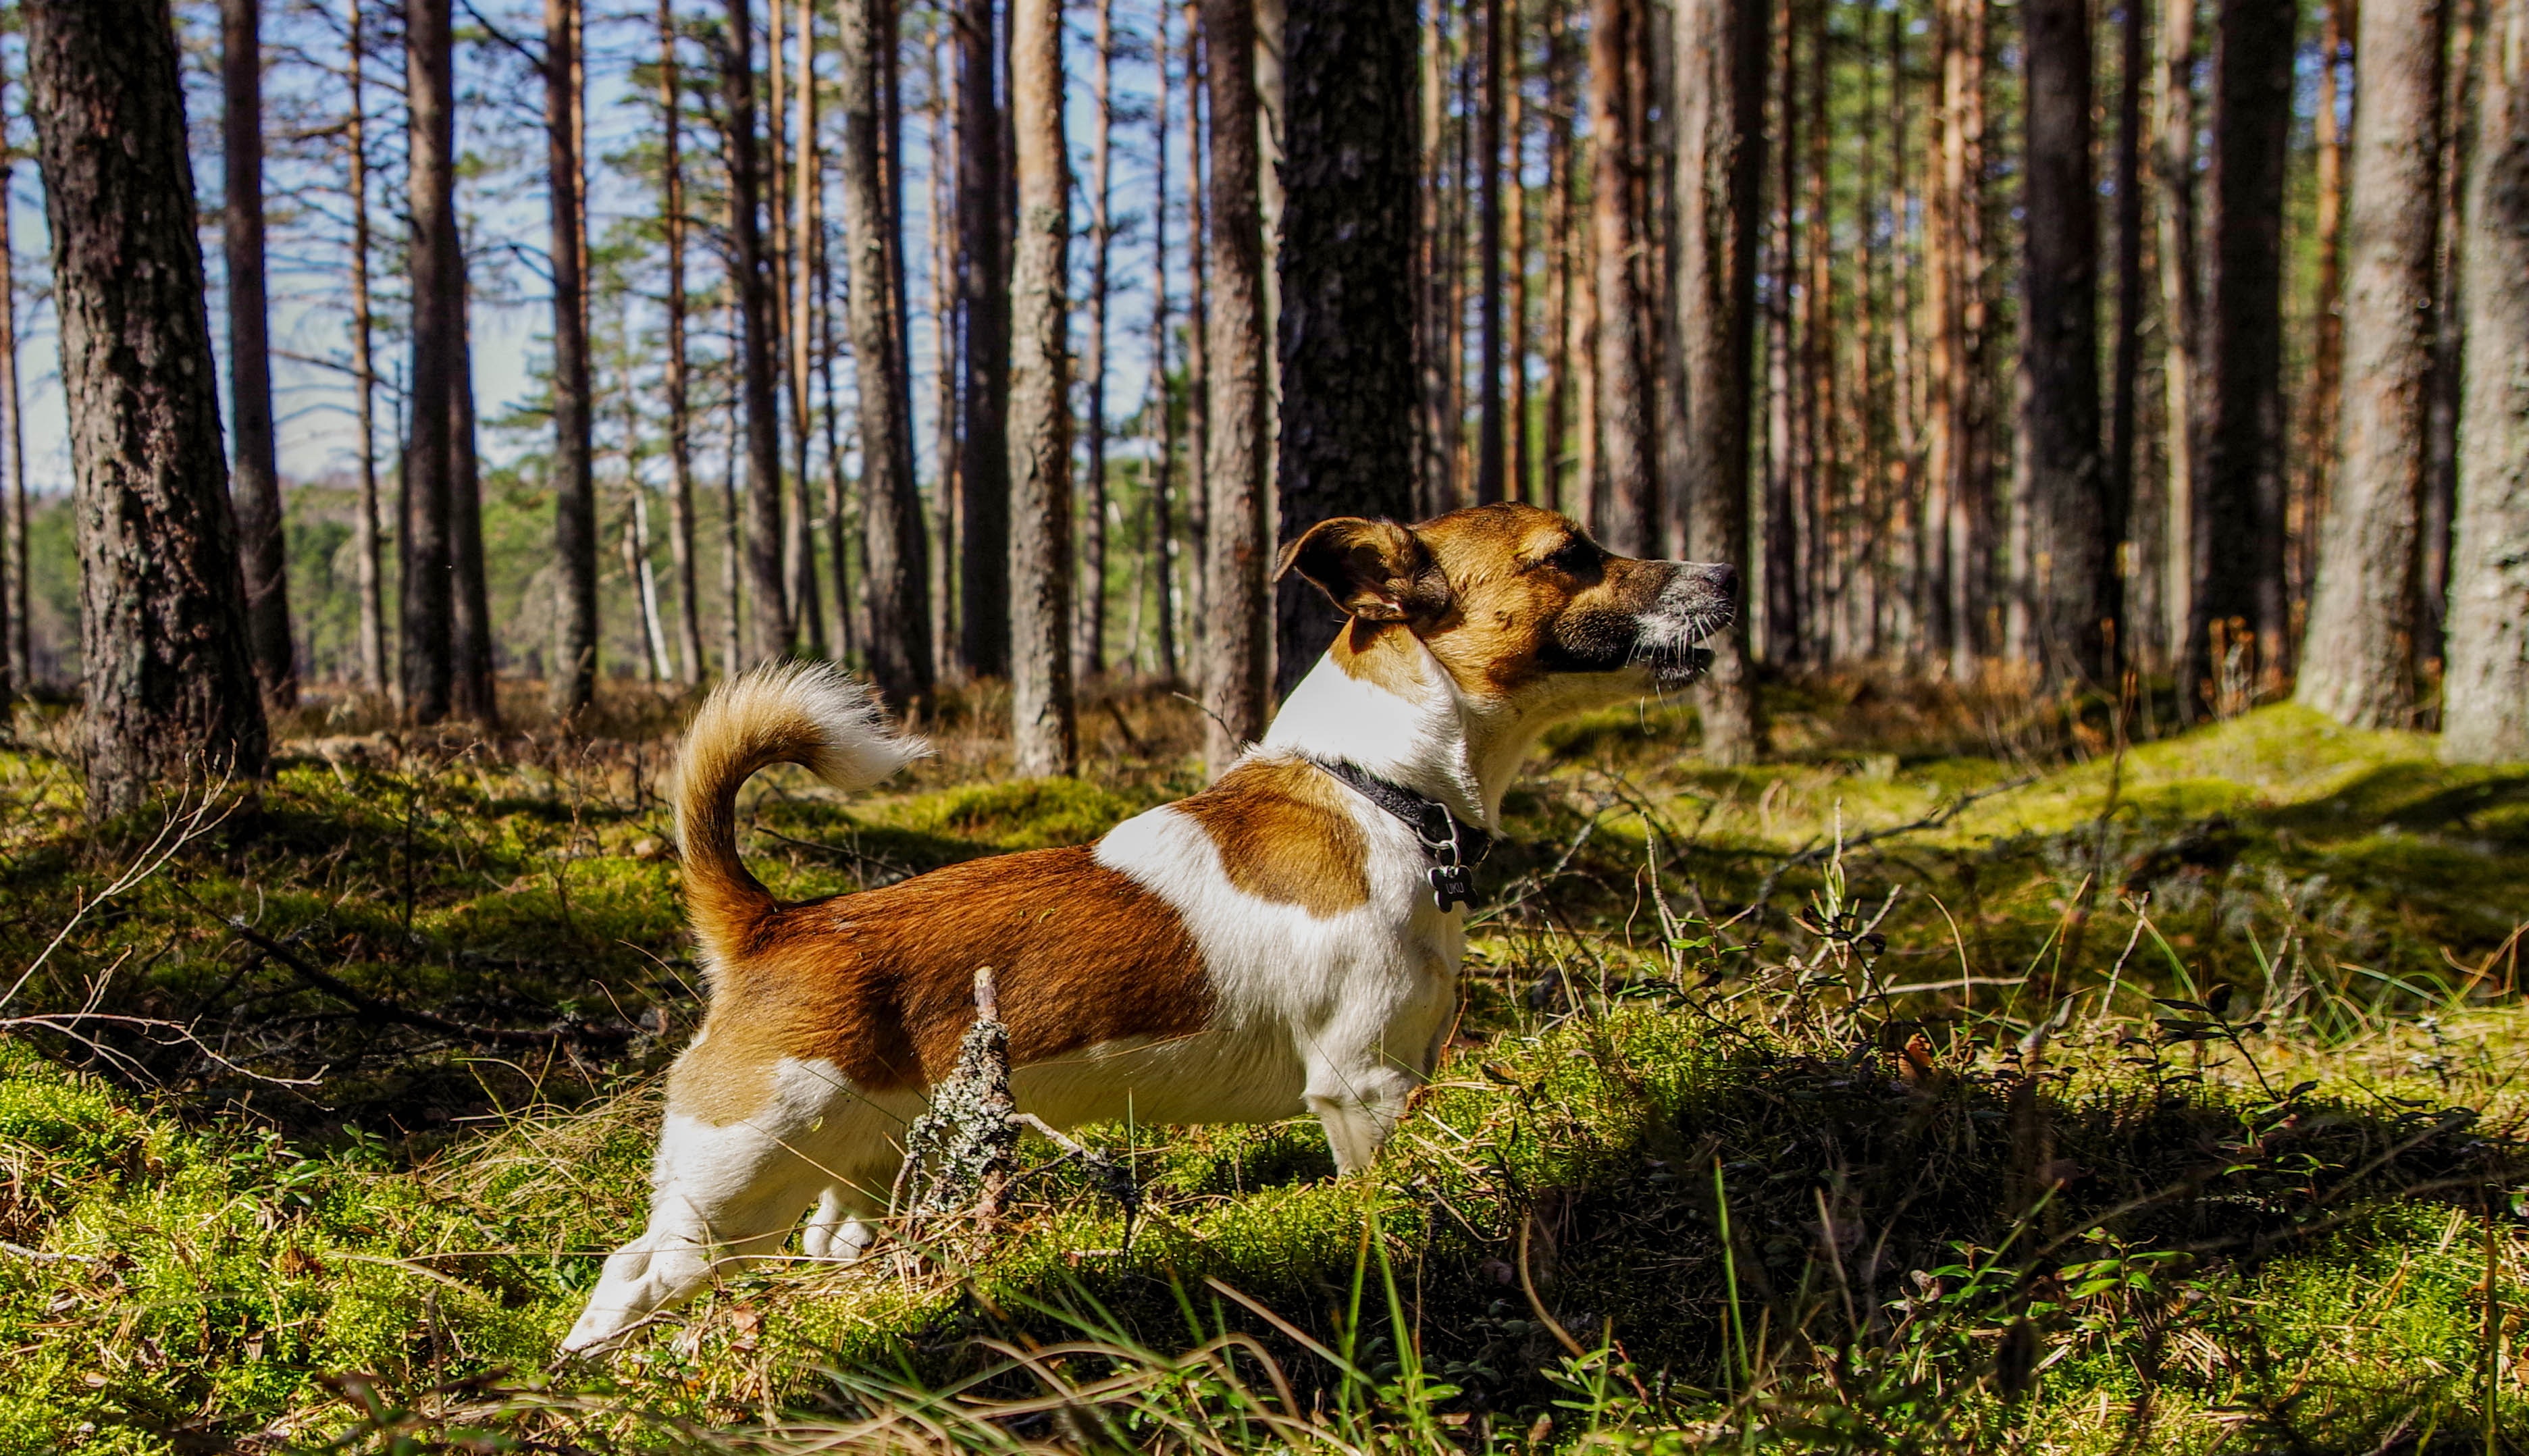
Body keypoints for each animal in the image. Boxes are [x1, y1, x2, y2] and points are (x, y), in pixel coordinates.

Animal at [561, 505, 1729, 1345]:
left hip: (848, 1175)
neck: (1379, 792)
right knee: (630, 1275)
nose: (1725, 575)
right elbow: (1374, 1203)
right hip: (734, 1189)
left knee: (822, 1240)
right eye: (1571, 555)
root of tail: (775, 924)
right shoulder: (1363, 1092)